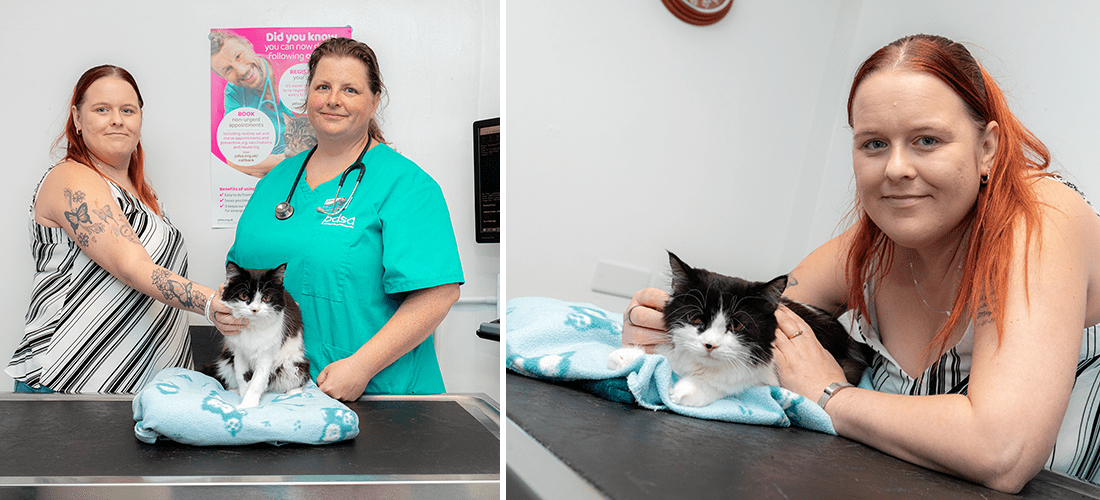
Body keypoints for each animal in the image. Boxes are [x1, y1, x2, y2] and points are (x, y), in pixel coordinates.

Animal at [607, 252, 871, 408]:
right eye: (696, 318)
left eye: (736, 325)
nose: (709, 345)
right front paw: (628, 356)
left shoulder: (766, 367)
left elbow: (732, 380)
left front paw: (689, 389)